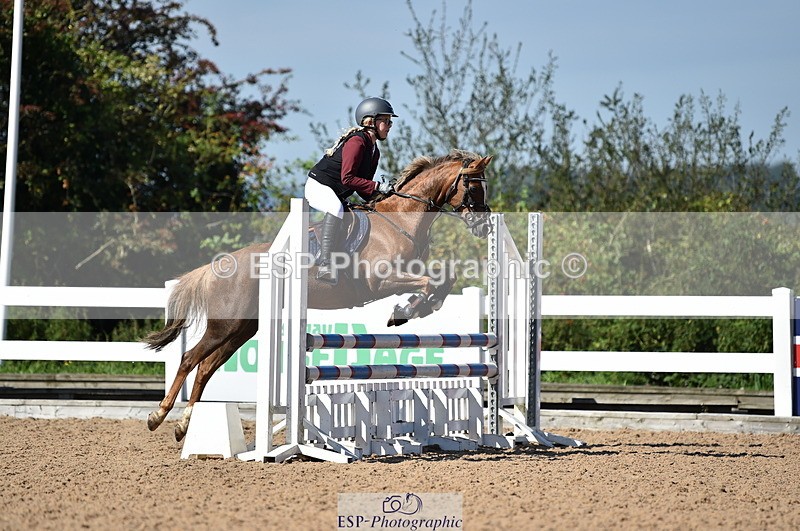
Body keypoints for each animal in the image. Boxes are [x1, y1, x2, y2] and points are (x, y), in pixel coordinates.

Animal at [143, 149, 493, 441]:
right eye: (473, 188)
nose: (484, 226)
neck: (401, 221)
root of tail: (217, 266)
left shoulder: (409, 273)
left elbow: (442, 279)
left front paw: (412, 309)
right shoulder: (382, 281)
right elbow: (428, 283)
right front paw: (404, 311)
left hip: (243, 328)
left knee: (206, 367)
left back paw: (183, 426)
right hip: (225, 325)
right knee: (190, 359)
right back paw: (158, 416)